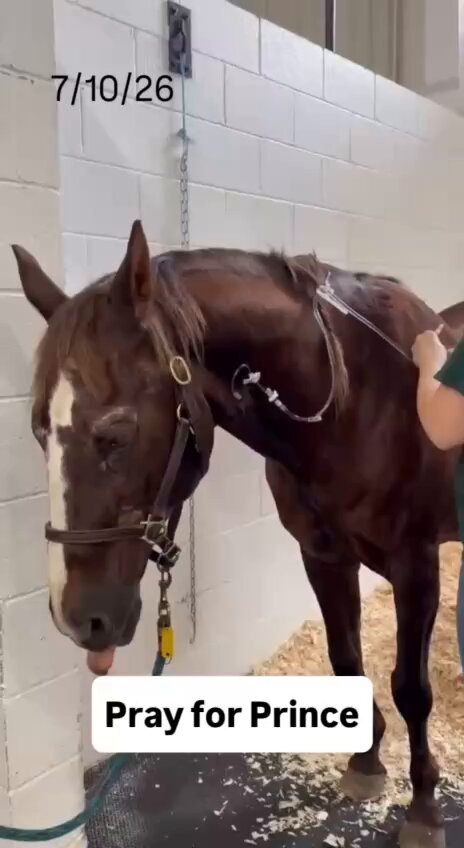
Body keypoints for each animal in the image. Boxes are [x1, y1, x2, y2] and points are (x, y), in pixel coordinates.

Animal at [12, 220, 463, 848]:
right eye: (39, 432)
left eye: (115, 435)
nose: (76, 619)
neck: (359, 398)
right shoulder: (323, 557)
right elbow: (346, 657)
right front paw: (365, 765)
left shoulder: (416, 565)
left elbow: (412, 691)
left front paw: (422, 808)